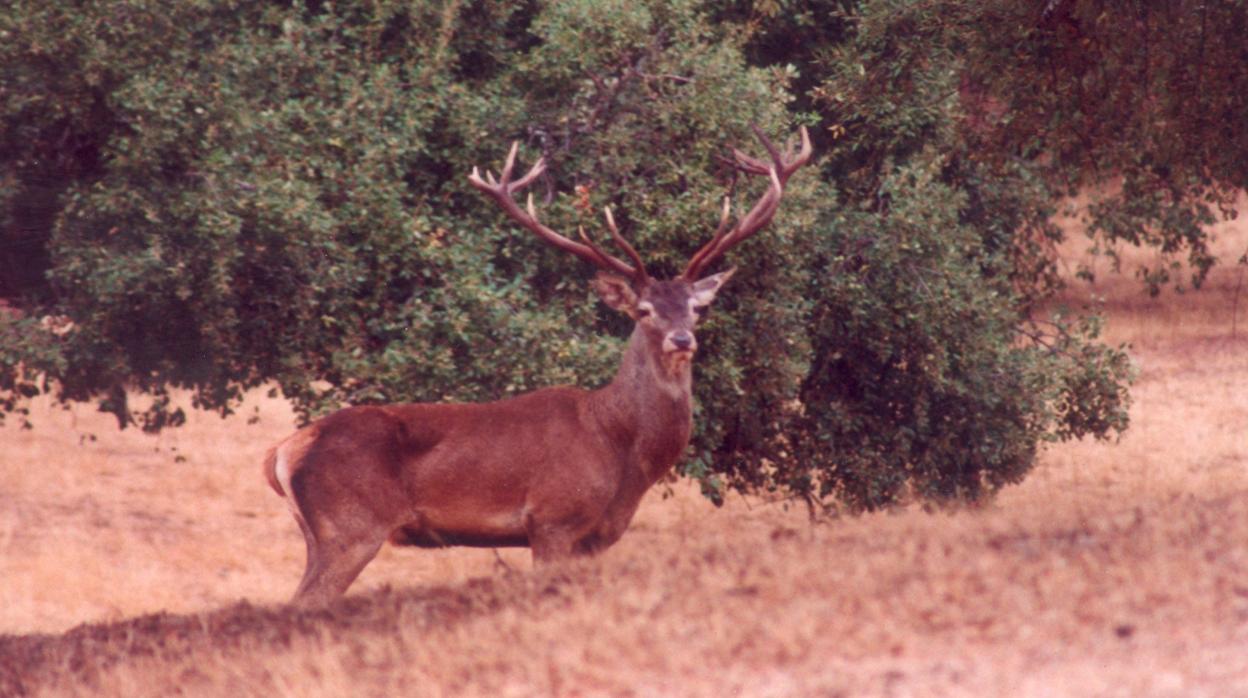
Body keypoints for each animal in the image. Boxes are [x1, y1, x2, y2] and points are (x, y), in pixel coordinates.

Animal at [263, 125, 808, 606]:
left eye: (697, 308)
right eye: (643, 310)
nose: (682, 339)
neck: (617, 444)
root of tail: (283, 450)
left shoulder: (594, 538)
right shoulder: (552, 519)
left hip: (320, 533)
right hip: (350, 526)